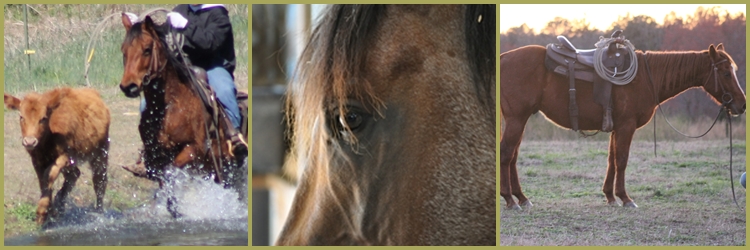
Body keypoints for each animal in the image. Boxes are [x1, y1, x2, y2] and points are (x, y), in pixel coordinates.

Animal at [3, 87, 110, 225]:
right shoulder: (37, 160)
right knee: (74, 174)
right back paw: (59, 205)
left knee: (99, 180)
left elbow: (49, 175)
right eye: (21, 117)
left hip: (100, 152)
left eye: (43, 118)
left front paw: (42, 210)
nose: (30, 142)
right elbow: (43, 181)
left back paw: (99, 212)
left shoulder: (66, 156)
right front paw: (46, 213)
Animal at [119, 14, 245, 217]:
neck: (169, 107)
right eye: (124, 50)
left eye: (147, 50)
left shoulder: (193, 149)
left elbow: (170, 172)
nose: (128, 87)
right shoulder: (155, 156)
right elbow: (163, 180)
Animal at [502, 43, 748, 209]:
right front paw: (625, 198)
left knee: (513, 156)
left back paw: (522, 198)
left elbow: (612, 159)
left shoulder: (617, 128)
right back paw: (509, 200)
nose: (742, 104)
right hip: (516, 120)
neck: (646, 77)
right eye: (726, 73)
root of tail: (504, 57)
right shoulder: (626, 126)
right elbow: (622, 159)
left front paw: (610, 196)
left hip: (520, 120)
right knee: (507, 153)